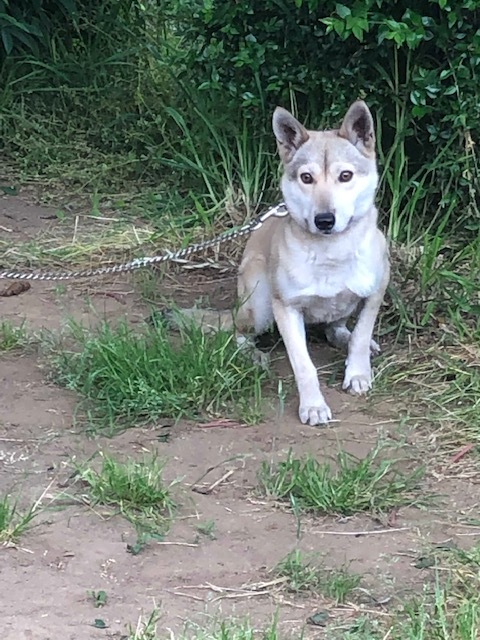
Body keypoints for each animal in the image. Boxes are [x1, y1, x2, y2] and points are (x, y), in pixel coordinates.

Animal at [171, 101, 388, 424]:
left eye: (346, 176)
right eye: (306, 178)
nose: (325, 220)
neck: (331, 251)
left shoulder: (375, 291)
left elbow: (361, 334)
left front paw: (358, 373)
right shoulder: (285, 308)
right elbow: (303, 364)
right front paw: (313, 405)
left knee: (337, 327)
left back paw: (345, 338)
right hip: (259, 306)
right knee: (238, 333)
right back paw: (253, 355)